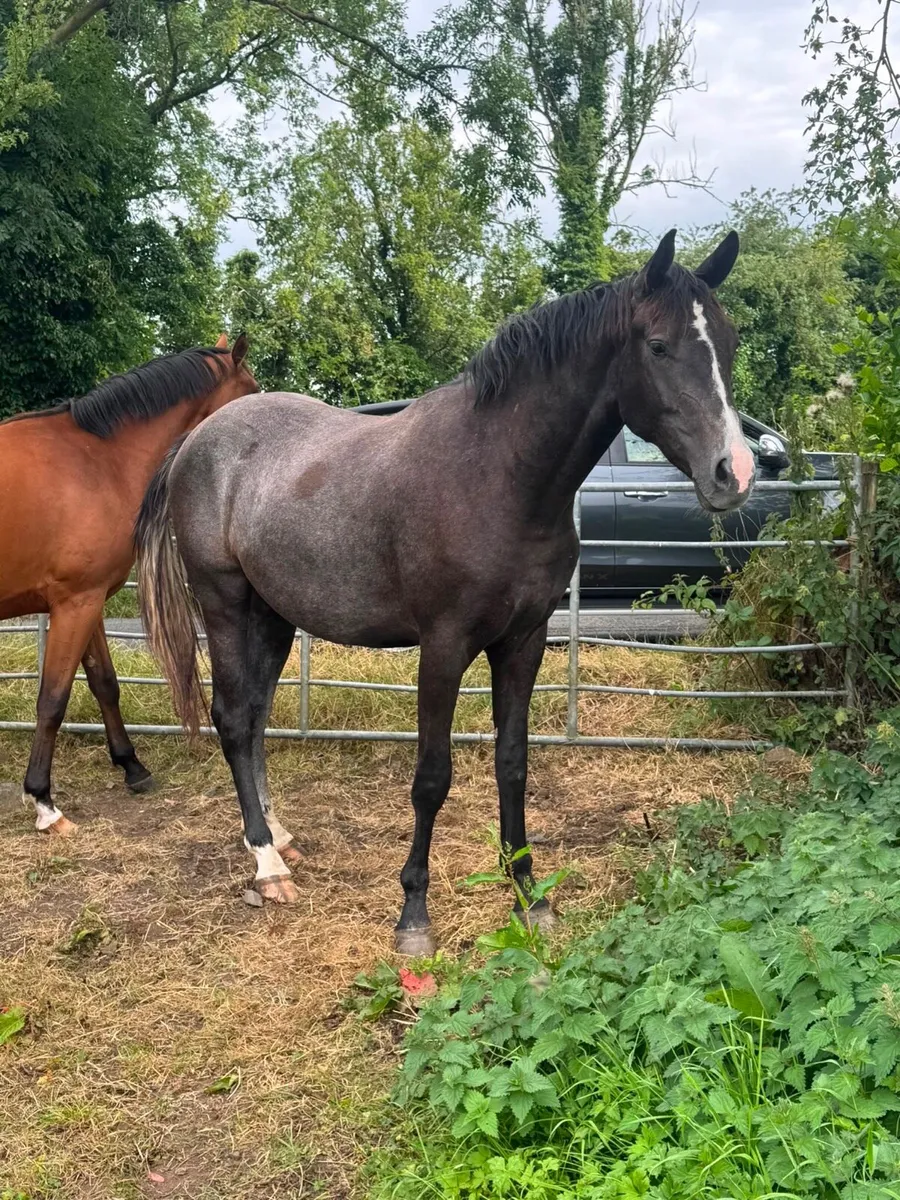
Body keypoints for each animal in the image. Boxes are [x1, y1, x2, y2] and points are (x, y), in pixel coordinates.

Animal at [0, 336, 258, 837]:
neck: (97, 459)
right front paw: (43, 800)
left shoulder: (88, 602)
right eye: (253, 394)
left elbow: (104, 683)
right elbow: (53, 699)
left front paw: (132, 766)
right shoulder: (75, 603)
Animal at [135, 231, 753, 954]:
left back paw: (277, 838)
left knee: (256, 716)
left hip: (274, 617)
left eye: (729, 342)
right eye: (658, 345)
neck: (497, 476)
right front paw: (413, 915)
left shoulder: (524, 641)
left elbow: (513, 763)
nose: (735, 473)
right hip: (225, 605)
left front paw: (529, 896)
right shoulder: (444, 647)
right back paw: (266, 865)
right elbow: (432, 778)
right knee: (233, 718)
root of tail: (197, 439)